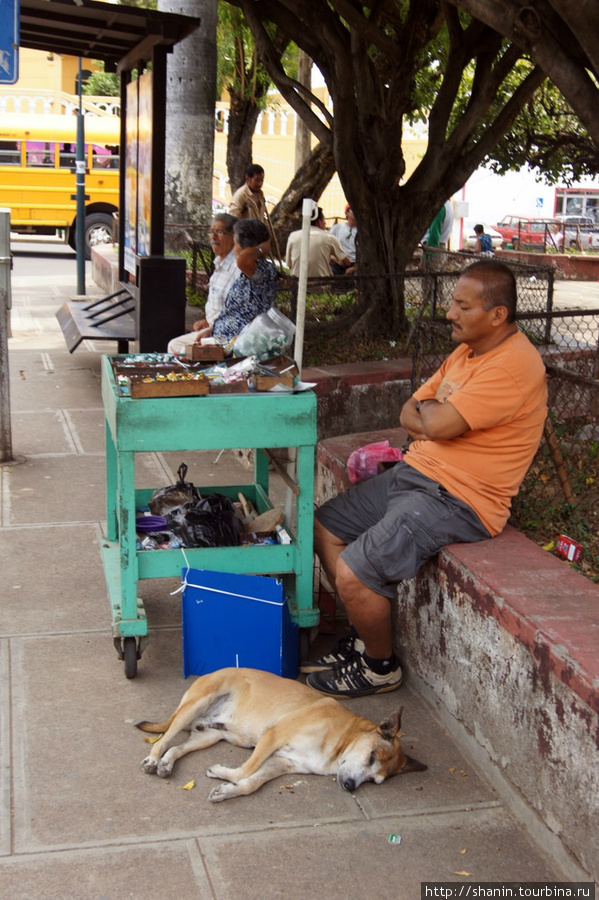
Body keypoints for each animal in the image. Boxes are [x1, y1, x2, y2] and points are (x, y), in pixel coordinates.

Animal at [136, 664, 426, 800]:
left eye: (375, 780)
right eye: (371, 756)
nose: (350, 786)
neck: (342, 740)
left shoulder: (283, 763)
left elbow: (252, 781)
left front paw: (229, 790)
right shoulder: (272, 737)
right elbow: (247, 769)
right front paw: (223, 774)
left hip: (210, 734)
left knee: (177, 747)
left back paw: (167, 763)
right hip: (193, 706)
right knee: (163, 740)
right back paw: (153, 759)